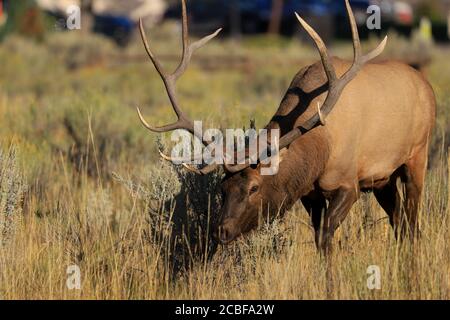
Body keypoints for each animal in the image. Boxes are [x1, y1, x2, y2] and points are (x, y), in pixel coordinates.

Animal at [137, 0, 436, 255]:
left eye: (254, 187)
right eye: (222, 187)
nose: (221, 231)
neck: (320, 147)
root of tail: (426, 84)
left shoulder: (348, 183)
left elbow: (326, 239)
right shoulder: (310, 194)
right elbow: (319, 240)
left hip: (417, 154)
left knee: (412, 224)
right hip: (383, 178)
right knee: (399, 222)